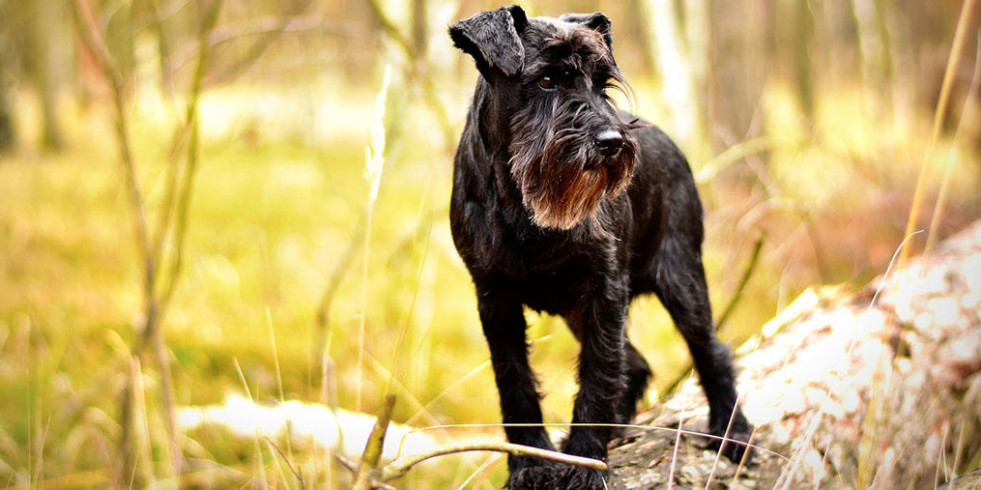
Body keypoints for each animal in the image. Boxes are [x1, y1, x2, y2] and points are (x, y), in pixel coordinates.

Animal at [450, 5, 752, 488]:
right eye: (547, 80)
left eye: (602, 82)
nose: (611, 142)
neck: (522, 205)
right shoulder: (494, 299)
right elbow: (515, 382)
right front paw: (531, 462)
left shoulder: (603, 292)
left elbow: (597, 374)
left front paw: (585, 463)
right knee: (638, 364)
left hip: (683, 281)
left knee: (711, 351)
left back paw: (732, 432)